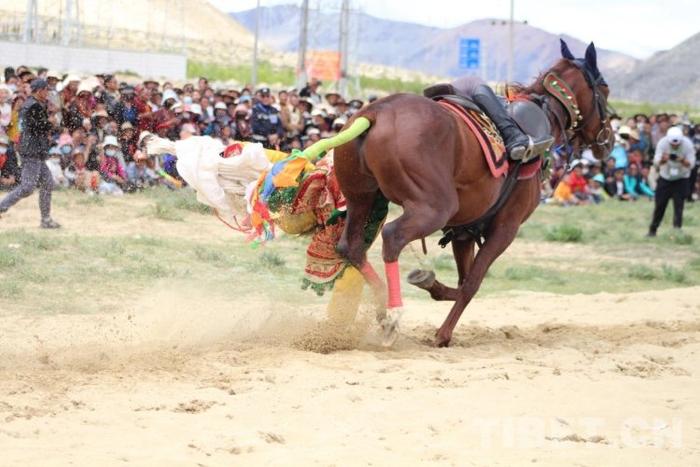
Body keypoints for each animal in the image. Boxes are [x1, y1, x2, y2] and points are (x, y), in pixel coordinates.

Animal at [334, 41, 612, 348]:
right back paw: (393, 313)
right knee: (393, 237)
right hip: (433, 208)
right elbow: (472, 284)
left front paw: (431, 285)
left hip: (361, 199)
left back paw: (383, 307)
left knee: (351, 247)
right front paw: (443, 333)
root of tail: (375, 114)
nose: (609, 138)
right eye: (605, 90)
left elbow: (462, 282)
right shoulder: (505, 229)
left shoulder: (464, 231)